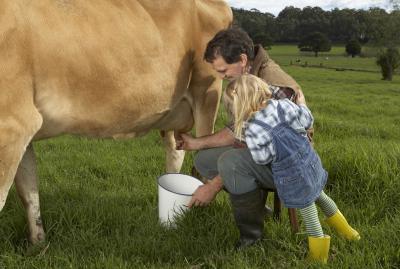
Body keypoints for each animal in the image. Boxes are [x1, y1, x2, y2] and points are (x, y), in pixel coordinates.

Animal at [0, 0, 233, 243]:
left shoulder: (13, 123)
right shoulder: (22, 129)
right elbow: (28, 191)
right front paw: (38, 243)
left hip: (207, 92)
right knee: (176, 153)